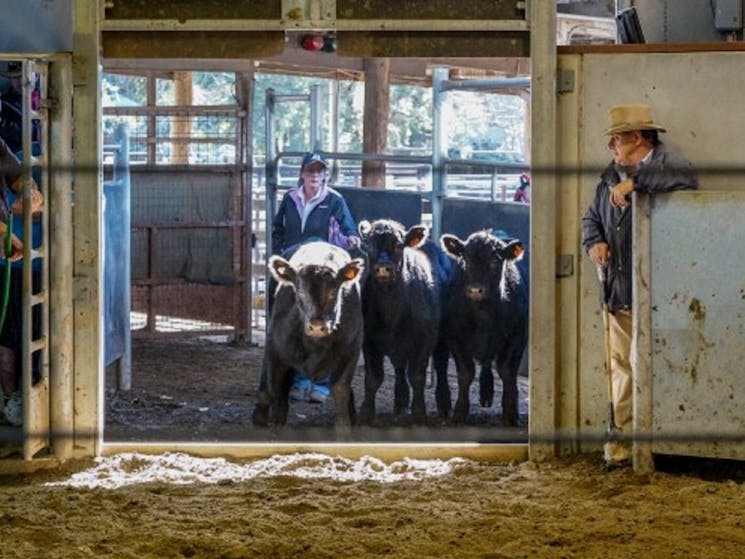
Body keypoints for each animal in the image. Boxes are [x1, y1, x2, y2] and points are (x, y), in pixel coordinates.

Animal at [251, 242, 364, 434]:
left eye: (334, 292)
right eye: (300, 293)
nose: (317, 326)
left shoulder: (351, 351)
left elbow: (341, 388)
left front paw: (344, 426)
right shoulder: (274, 350)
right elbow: (273, 388)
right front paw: (272, 421)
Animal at [356, 219, 448, 424]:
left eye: (398, 245)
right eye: (369, 245)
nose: (383, 267)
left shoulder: (425, 342)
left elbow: (417, 377)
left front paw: (419, 413)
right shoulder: (369, 341)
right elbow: (373, 377)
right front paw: (365, 413)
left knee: (441, 367)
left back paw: (444, 407)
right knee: (399, 368)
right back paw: (400, 403)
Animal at [438, 230, 528, 426]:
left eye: (495, 261)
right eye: (466, 259)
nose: (475, 290)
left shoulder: (517, 337)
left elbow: (507, 371)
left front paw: (510, 413)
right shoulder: (454, 337)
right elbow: (466, 373)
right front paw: (459, 413)